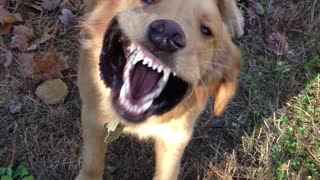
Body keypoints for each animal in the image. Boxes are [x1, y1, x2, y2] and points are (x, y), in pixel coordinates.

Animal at [76, 0, 244, 179]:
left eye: (206, 30)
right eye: (148, 1)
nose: (167, 35)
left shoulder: (176, 136)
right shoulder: (92, 112)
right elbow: (92, 162)